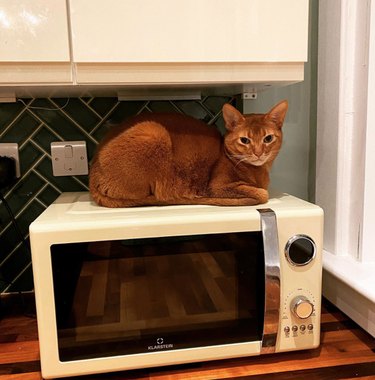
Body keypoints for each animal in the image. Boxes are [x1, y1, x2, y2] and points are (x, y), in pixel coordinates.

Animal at [89, 100, 290, 208]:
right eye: (244, 140)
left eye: (268, 138)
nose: (258, 153)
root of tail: (92, 176)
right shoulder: (218, 186)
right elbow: (262, 194)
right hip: (154, 131)